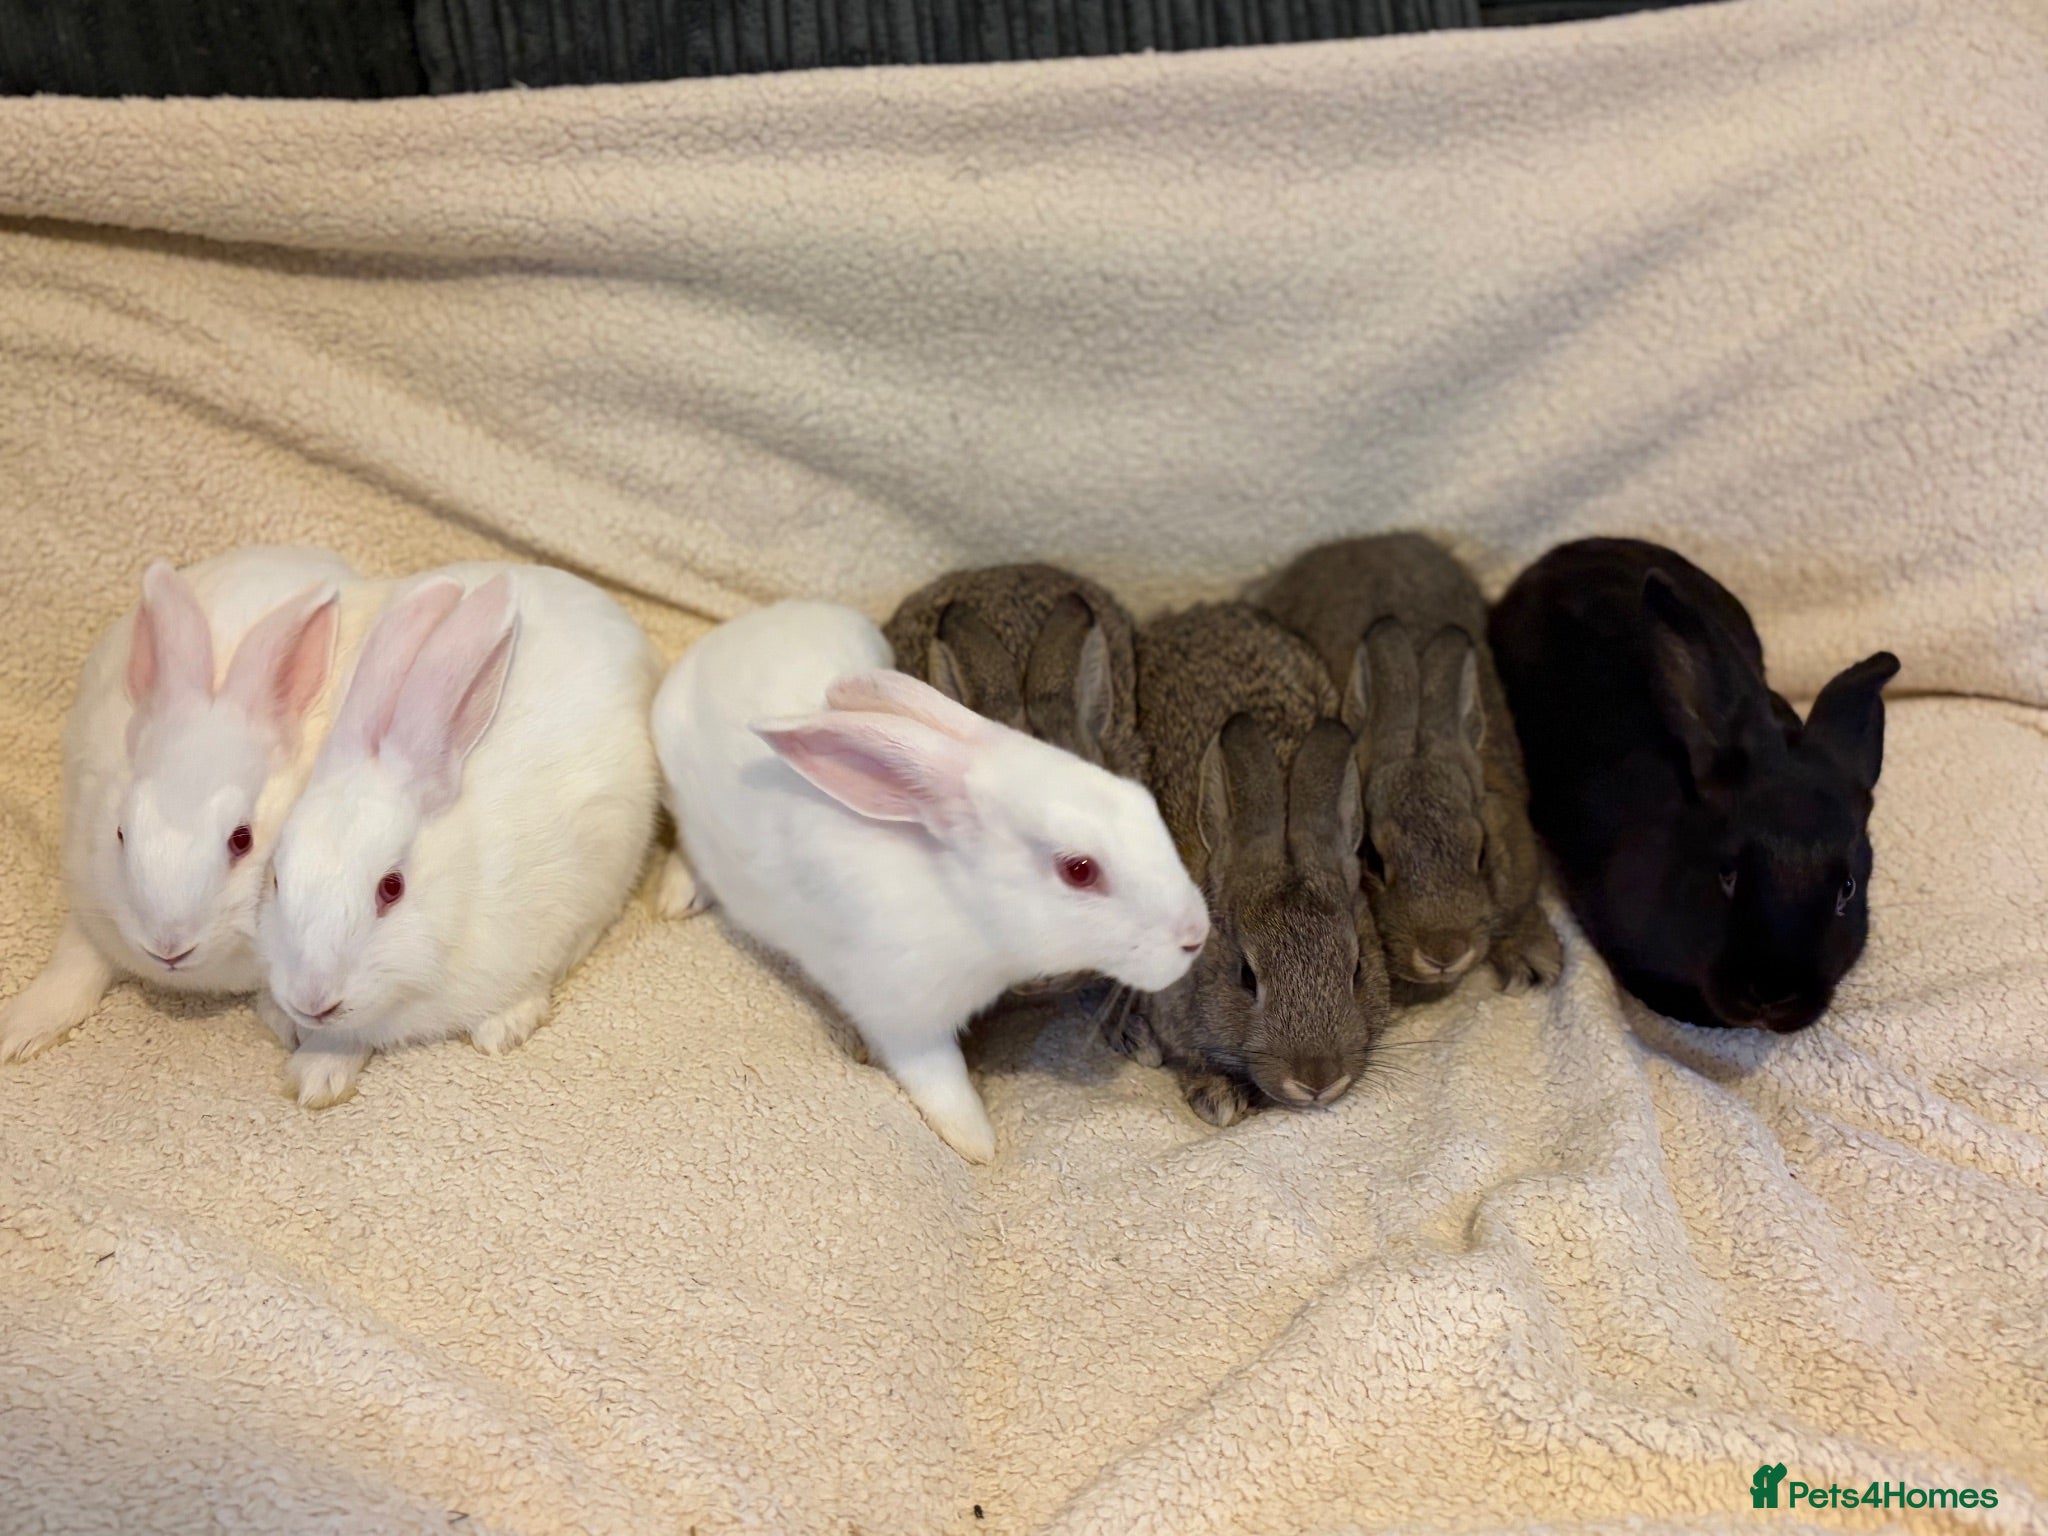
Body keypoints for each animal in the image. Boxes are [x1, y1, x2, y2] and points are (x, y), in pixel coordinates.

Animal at [0, 547, 361, 1064]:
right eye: (120, 834)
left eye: (242, 840)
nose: (168, 947)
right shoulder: (90, 902)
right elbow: (76, 962)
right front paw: (18, 1031)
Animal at [651, 600, 1208, 1163]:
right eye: (1079, 870)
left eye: (1143, 801)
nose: (1196, 934)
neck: (961, 900)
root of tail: (735, 631)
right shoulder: (903, 1014)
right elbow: (939, 1078)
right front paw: (977, 1141)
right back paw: (678, 895)